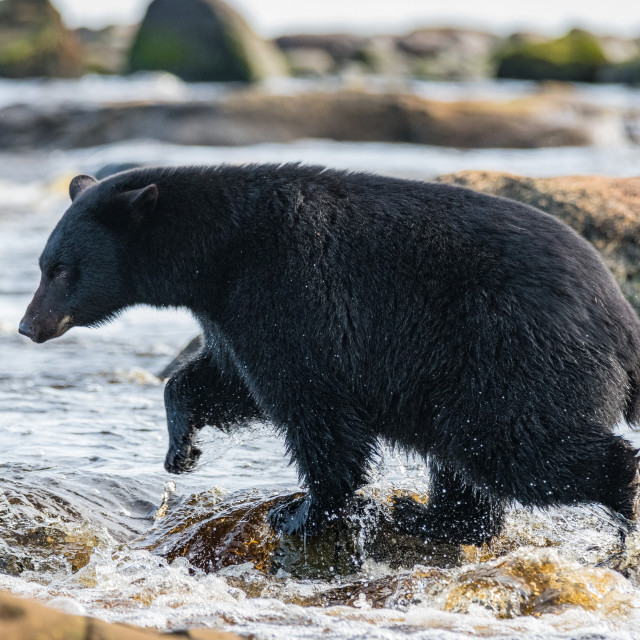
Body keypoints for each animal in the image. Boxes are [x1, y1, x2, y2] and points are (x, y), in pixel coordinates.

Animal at [20, 164, 640, 540]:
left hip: (513, 354)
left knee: (513, 446)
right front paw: (182, 450)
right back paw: (425, 518)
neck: (218, 251)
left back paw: (624, 498)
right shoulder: (232, 310)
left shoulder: (288, 292)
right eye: (43, 265)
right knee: (468, 459)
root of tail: (619, 315)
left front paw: (300, 511)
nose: (28, 326)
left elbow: (310, 404)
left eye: (62, 269)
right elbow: (225, 380)